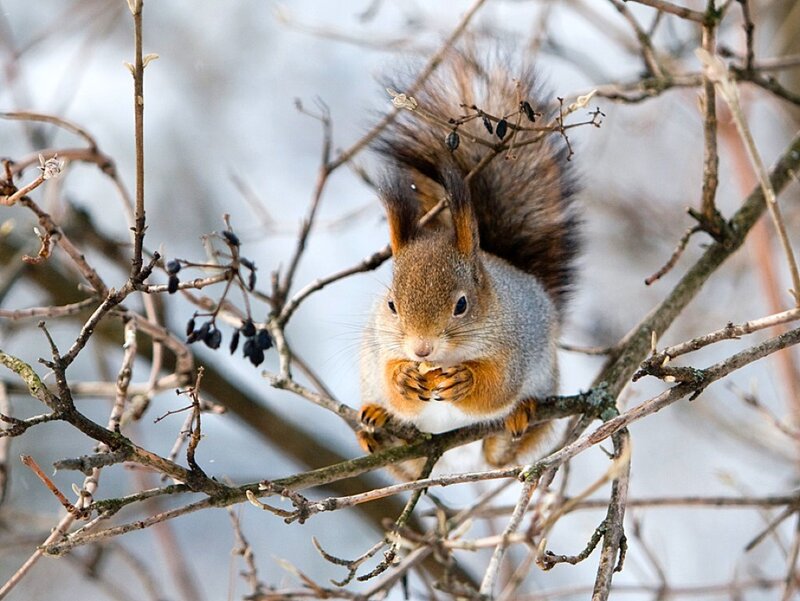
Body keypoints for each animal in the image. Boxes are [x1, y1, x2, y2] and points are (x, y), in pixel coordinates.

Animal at [358, 49, 580, 469]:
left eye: (462, 304)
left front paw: (466, 380)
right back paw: (376, 428)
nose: (421, 350)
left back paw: (516, 422)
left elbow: (496, 388)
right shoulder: (379, 344)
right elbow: (395, 386)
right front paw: (403, 378)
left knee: (502, 451)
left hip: (544, 384)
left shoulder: (515, 345)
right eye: (392, 305)